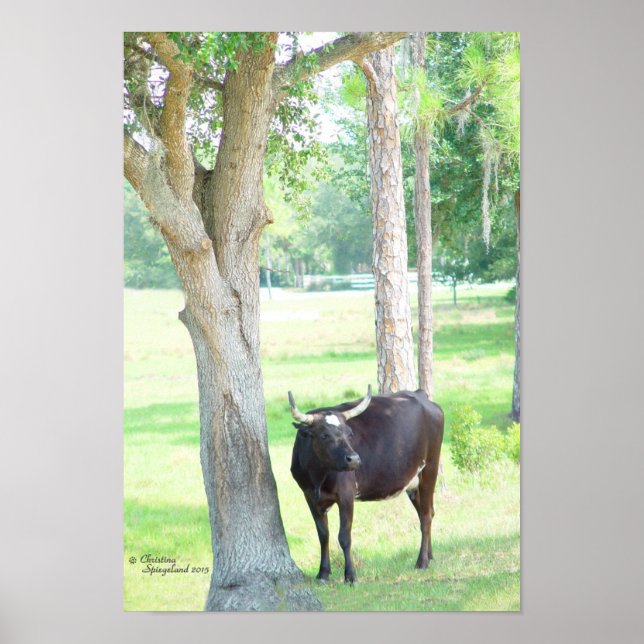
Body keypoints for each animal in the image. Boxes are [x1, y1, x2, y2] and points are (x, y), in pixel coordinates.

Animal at [289, 385, 444, 583]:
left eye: (349, 434)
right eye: (324, 435)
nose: (354, 459)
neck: (317, 477)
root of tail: (420, 394)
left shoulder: (346, 496)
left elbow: (344, 537)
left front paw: (350, 575)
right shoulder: (309, 496)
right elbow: (323, 535)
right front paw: (323, 573)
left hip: (429, 469)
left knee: (425, 517)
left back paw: (422, 561)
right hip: (413, 483)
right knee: (428, 511)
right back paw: (430, 556)